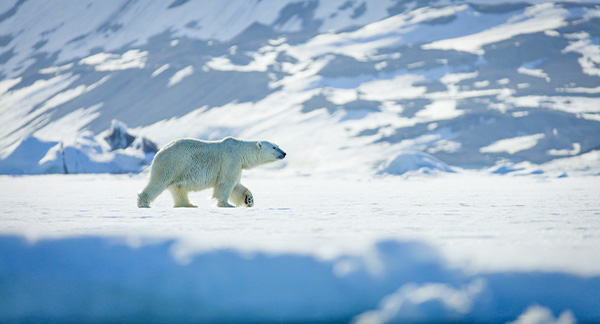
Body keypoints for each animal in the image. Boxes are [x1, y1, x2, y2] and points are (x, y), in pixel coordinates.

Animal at [137, 137, 286, 208]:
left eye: (277, 145)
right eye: (274, 147)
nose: (284, 153)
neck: (240, 151)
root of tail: (158, 153)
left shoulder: (238, 165)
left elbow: (236, 186)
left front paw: (248, 199)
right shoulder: (230, 160)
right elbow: (226, 184)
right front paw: (226, 204)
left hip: (179, 170)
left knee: (178, 189)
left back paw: (189, 204)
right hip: (173, 164)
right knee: (158, 183)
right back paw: (143, 203)